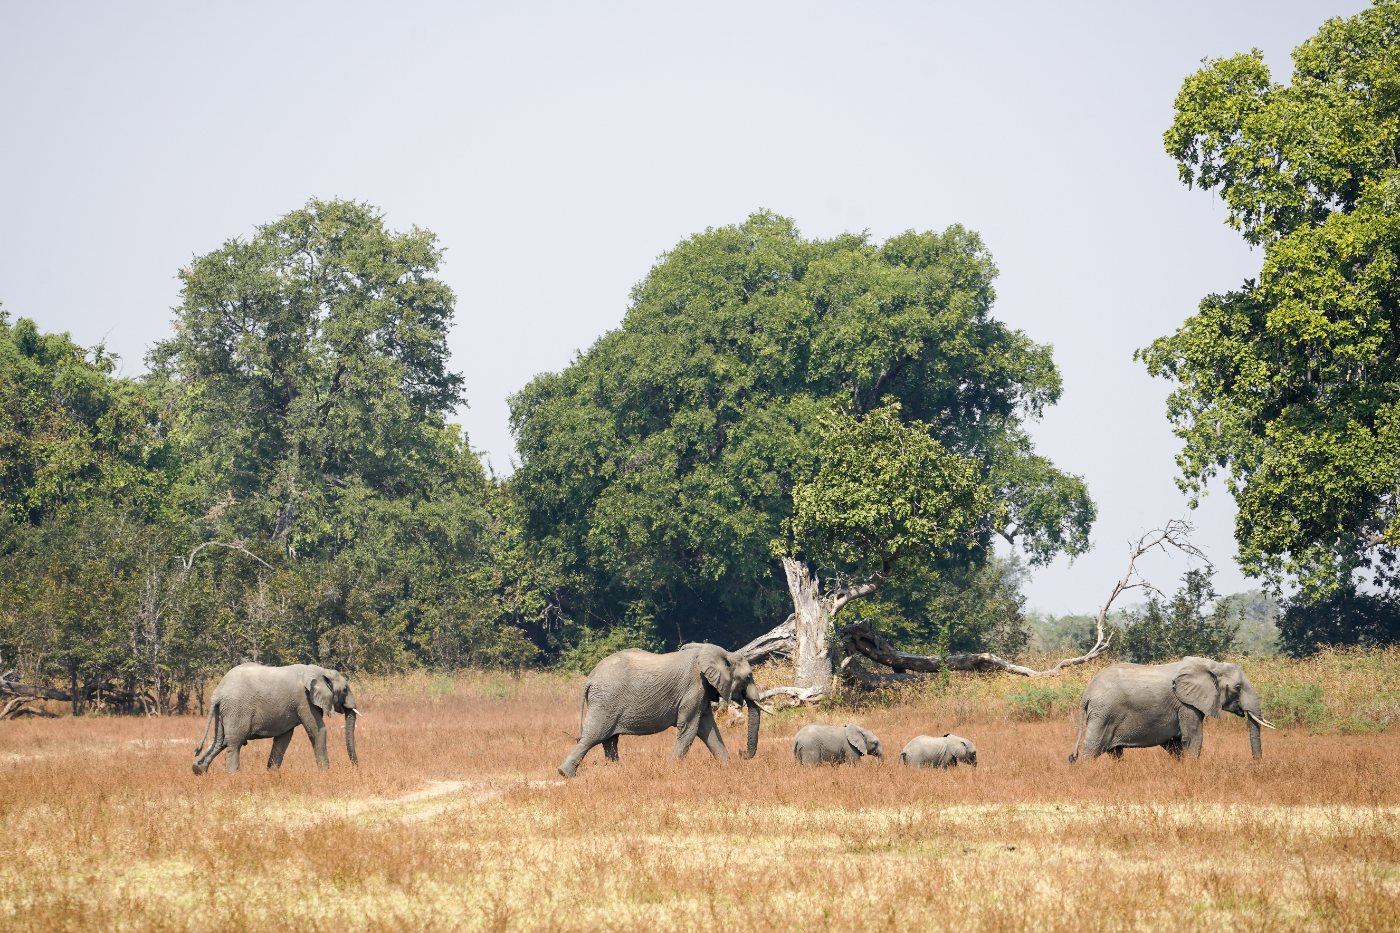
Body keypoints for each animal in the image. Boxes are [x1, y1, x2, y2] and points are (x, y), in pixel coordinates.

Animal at [192, 663, 359, 775]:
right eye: (345, 690)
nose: (355, 768)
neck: (320, 671)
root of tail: (217, 693)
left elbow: (283, 738)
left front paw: (271, 774)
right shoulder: (304, 700)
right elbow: (317, 731)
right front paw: (325, 773)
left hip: (224, 711)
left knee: (220, 741)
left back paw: (198, 770)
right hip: (236, 709)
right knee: (234, 742)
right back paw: (233, 775)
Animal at [557, 643, 764, 778]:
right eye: (748, 677)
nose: (741, 753)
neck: (723, 654)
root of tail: (590, 678)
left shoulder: (702, 692)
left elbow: (708, 729)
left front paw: (728, 767)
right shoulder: (694, 687)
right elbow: (690, 729)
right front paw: (672, 770)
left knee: (609, 740)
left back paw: (616, 771)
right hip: (606, 702)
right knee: (594, 736)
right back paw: (565, 774)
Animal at [1068, 656, 1273, 763]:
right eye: (1238, 687)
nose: (1257, 765)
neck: (1212, 665)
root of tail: (1087, 693)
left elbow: (1175, 743)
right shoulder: (1186, 704)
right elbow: (1193, 737)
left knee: (1115, 752)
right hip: (1103, 713)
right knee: (1092, 748)